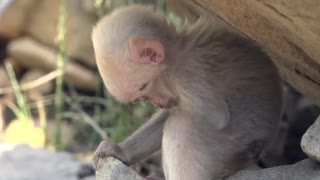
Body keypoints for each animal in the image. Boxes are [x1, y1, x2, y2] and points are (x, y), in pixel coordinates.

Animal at [90, 4, 282, 180]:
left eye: (144, 86)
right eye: (140, 97)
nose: (157, 103)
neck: (178, 52)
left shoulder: (187, 77)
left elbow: (216, 117)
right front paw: (119, 151)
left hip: (237, 144)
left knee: (182, 125)